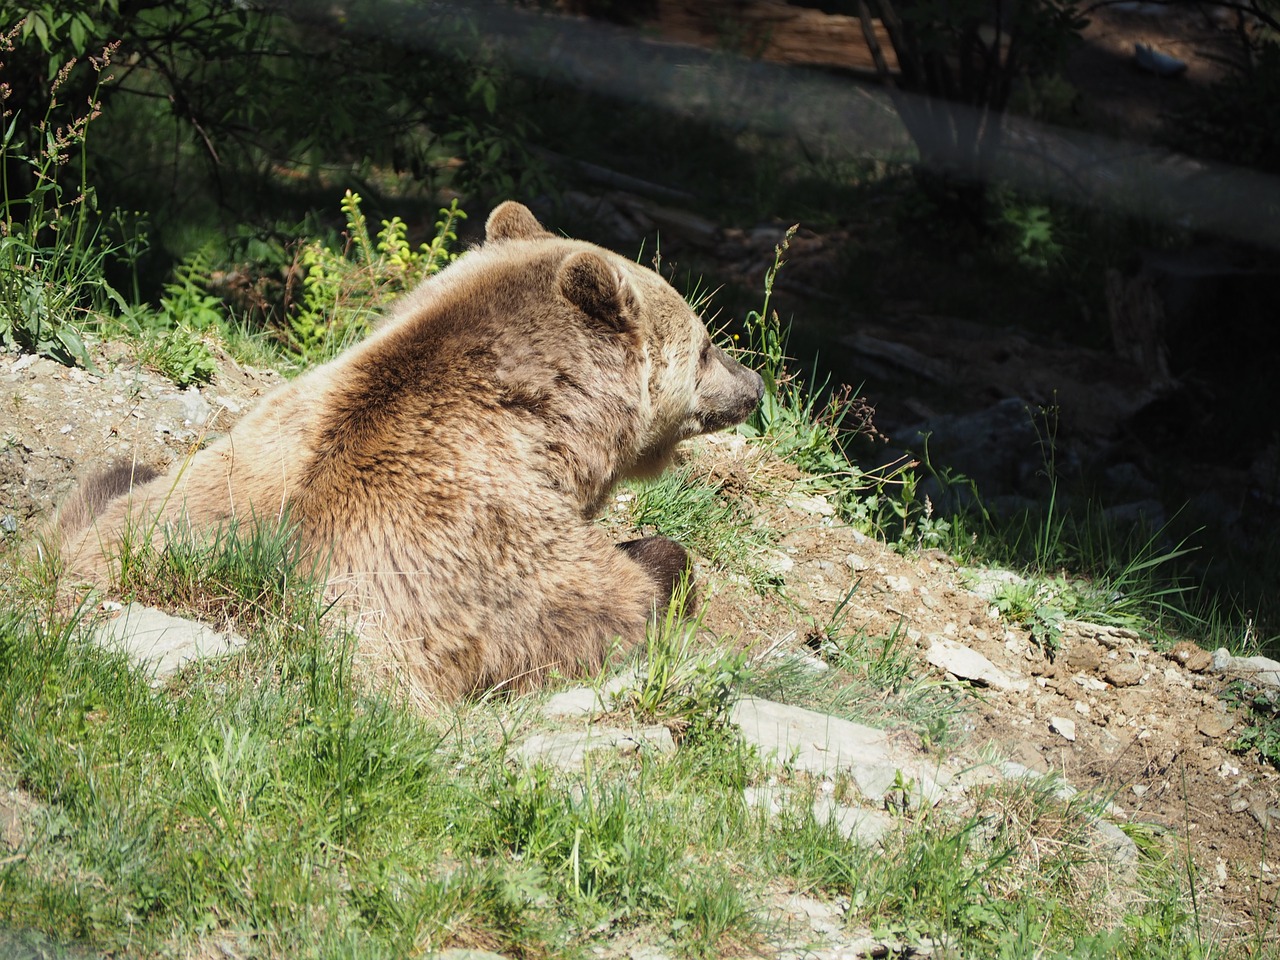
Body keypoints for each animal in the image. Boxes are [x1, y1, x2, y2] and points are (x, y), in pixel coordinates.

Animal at [57, 200, 757, 701]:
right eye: (704, 345)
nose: (752, 384)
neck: (549, 430)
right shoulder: (492, 546)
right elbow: (608, 600)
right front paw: (665, 567)